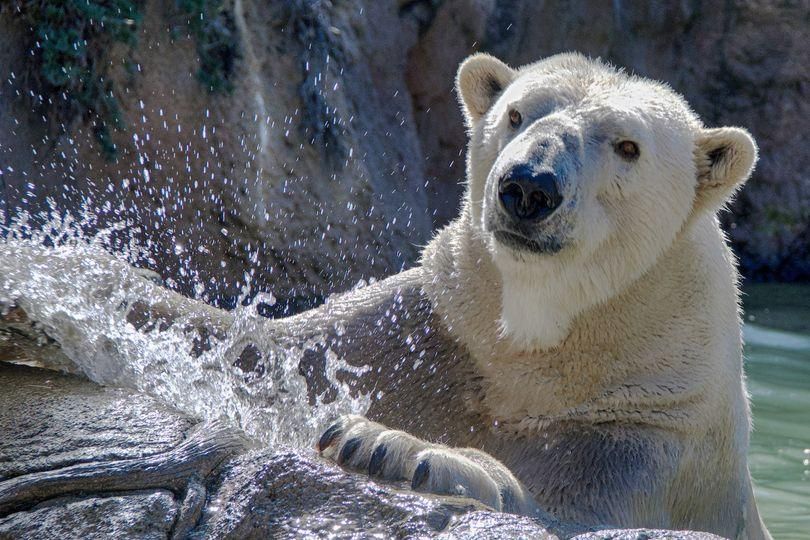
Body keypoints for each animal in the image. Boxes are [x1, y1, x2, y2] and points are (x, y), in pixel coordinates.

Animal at [310, 52, 772, 536]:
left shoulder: (645, 440)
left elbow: (560, 512)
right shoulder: (425, 328)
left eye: (628, 147)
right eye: (516, 114)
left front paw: (389, 445)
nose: (530, 185)